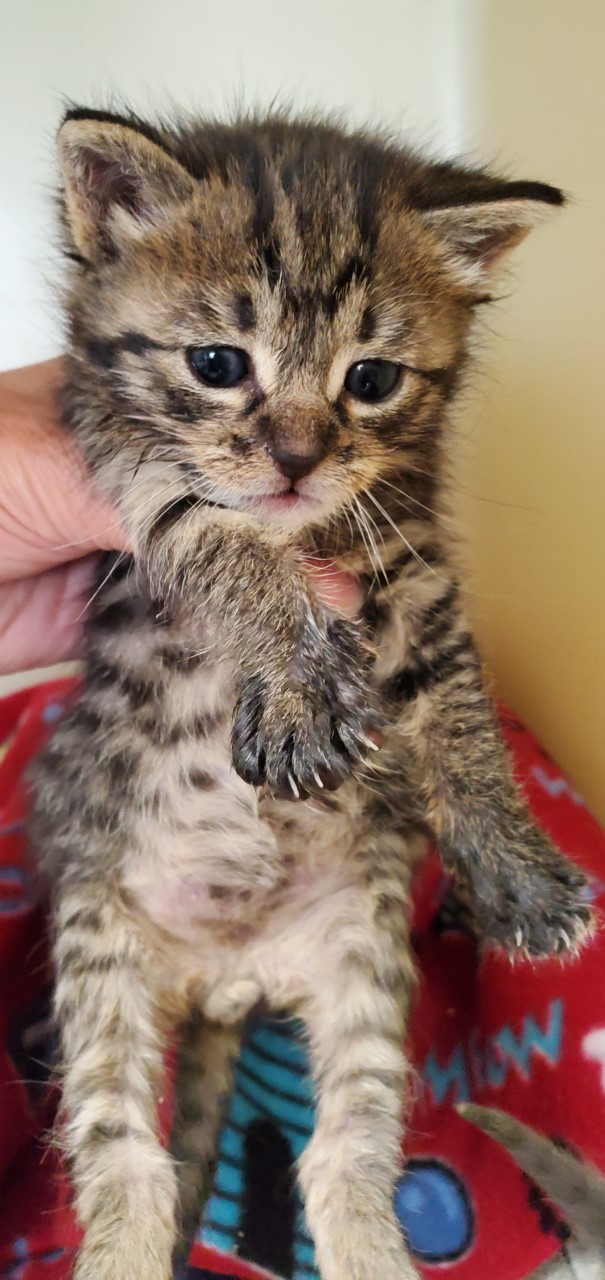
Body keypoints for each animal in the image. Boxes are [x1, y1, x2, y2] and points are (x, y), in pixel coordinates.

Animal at [30, 107, 590, 1280]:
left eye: (370, 379)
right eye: (215, 363)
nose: (294, 459)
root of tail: (230, 978)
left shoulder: (413, 567)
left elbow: (457, 706)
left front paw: (517, 871)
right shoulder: (118, 461)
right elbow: (213, 533)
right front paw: (294, 677)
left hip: (361, 949)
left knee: (341, 1155)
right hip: (98, 947)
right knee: (127, 1158)